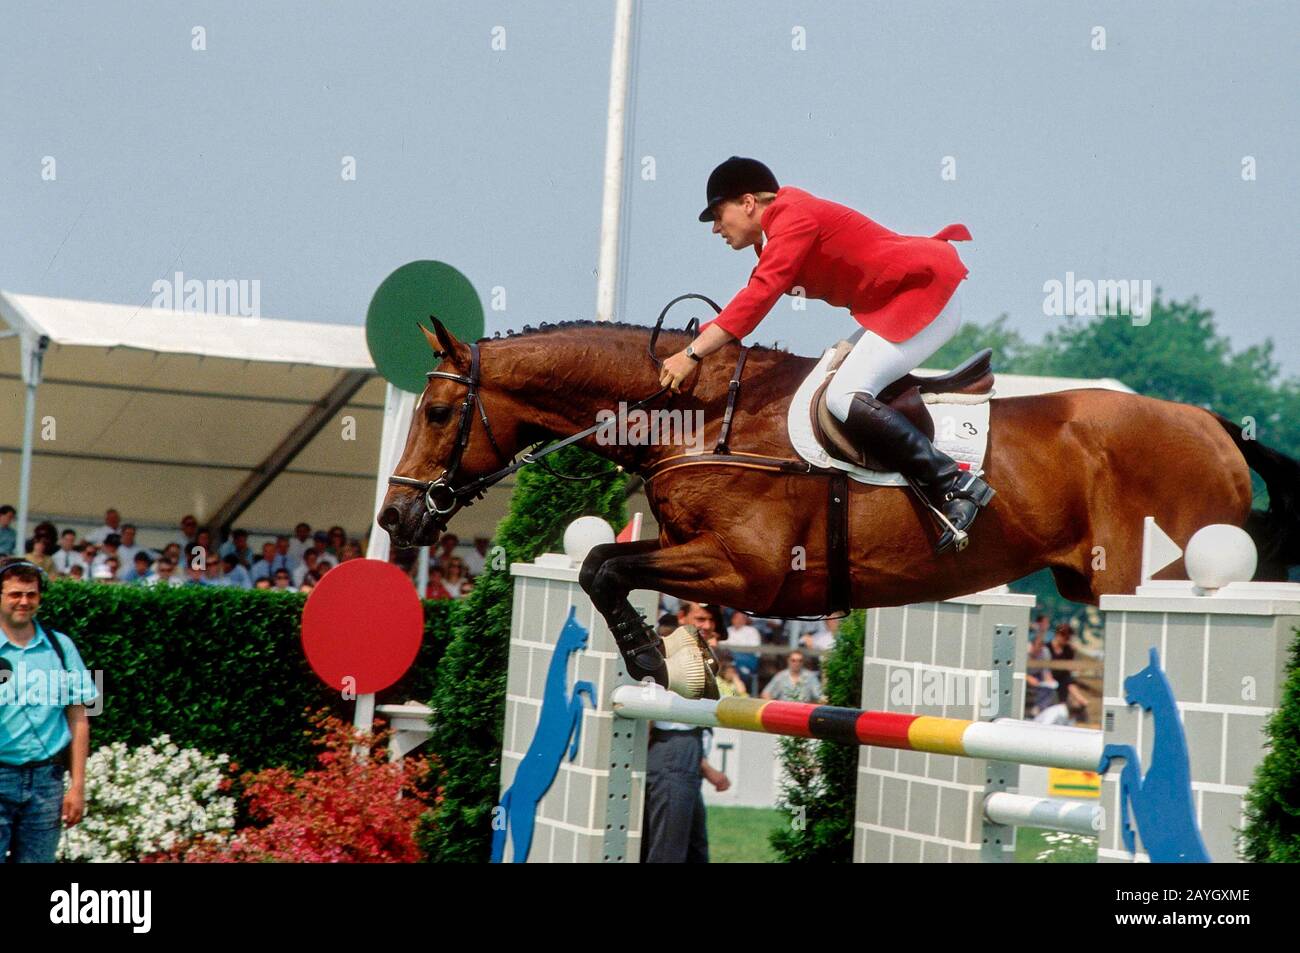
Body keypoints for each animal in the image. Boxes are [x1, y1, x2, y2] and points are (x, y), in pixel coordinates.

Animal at [379, 317, 1300, 691]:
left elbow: (602, 565)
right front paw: (683, 656)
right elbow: (610, 565)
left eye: (437, 412)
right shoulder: (701, 559)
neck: (702, 418)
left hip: (1152, 576)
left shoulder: (746, 572)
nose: (395, 519)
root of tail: (1214, 425)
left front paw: (658, 662)